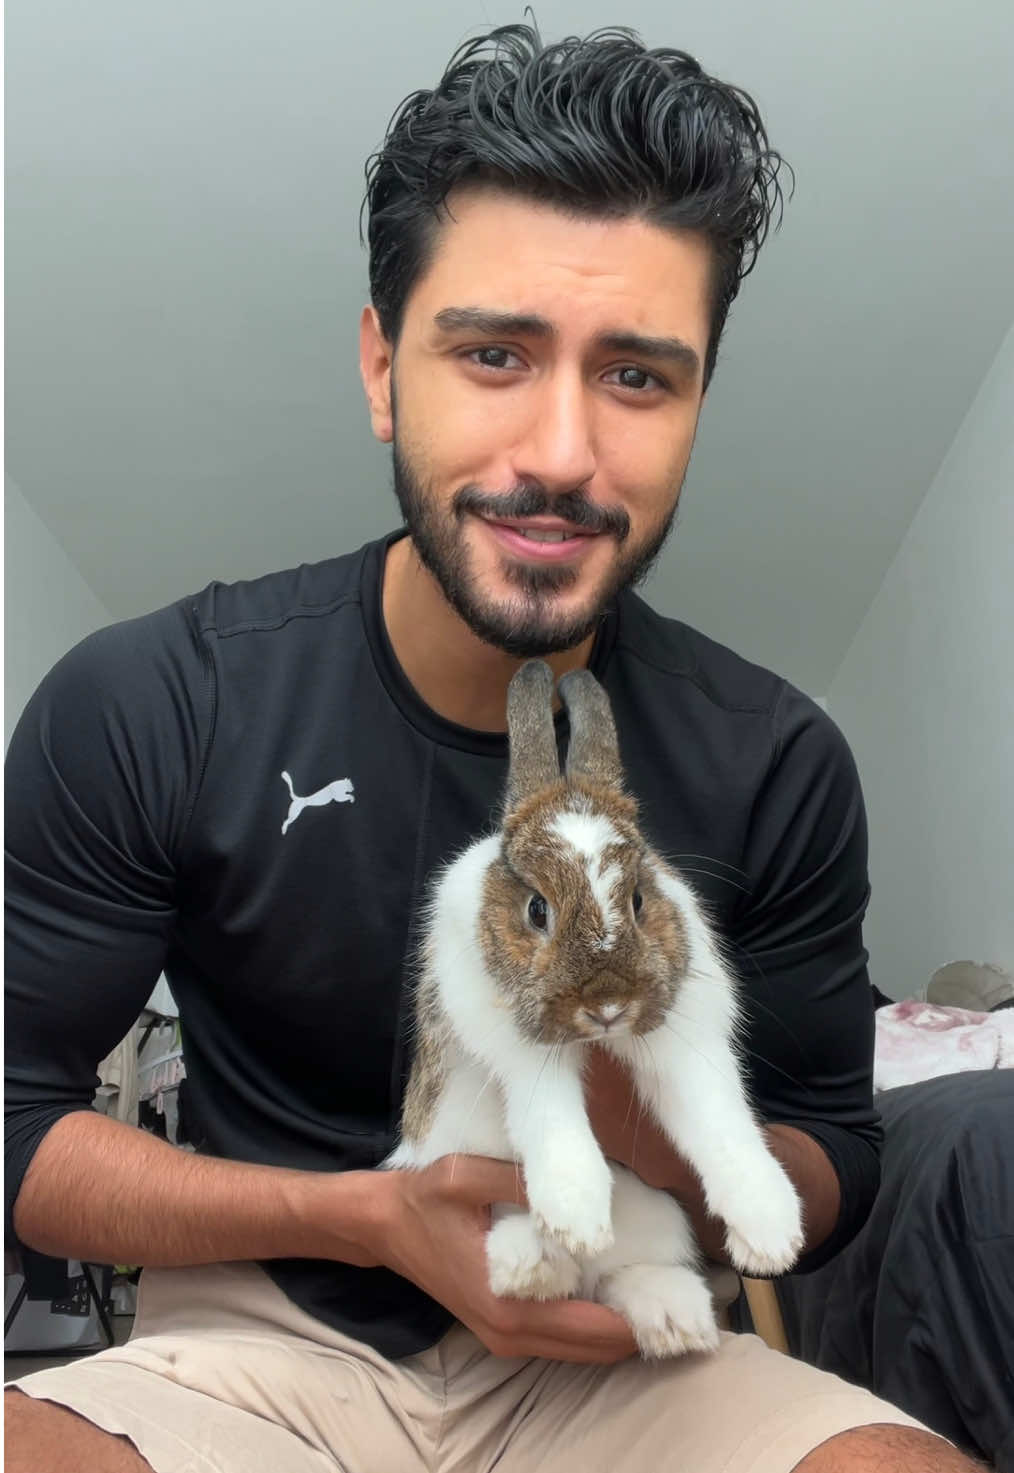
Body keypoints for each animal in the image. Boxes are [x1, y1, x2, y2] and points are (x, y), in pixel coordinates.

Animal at [384, 659, 804, 1358]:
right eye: (537, 909)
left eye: (637, 900)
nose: (608, 1002)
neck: (600, 1037)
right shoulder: (518, 1050)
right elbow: (550, 1113)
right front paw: (576, 1214)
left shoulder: (687, 1046)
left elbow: (720, 1123)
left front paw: (772, 1236)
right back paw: (533, 1262)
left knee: (621, 1276)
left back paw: (673, 1318)